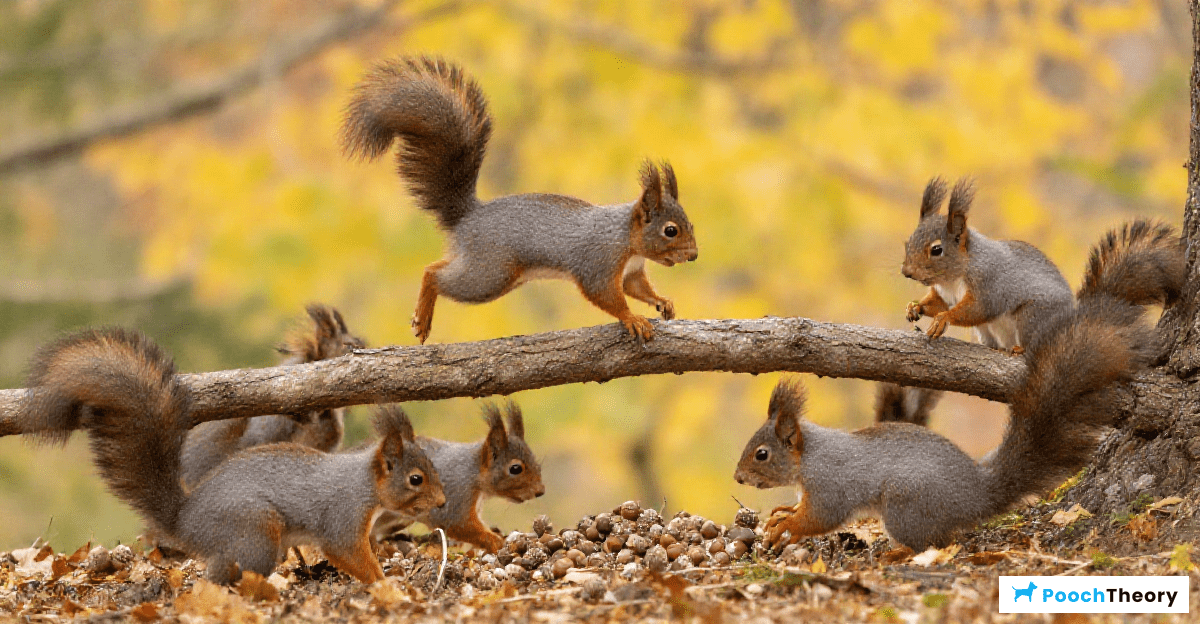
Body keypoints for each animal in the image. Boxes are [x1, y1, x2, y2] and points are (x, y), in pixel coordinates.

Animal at [18, 328, 445, 584]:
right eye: (415, 478)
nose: (442, 501)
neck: (364, 482)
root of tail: (184, 521)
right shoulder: (342, 519)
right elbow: (349, 554)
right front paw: (384, 583)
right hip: (254, 531)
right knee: (224, 575)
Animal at [340, 56, 699, 343]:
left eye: (690, 224)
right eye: (670, 230)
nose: (694, 256)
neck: (627, 237)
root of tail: (468, 216)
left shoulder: (632, 271)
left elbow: (638, 289)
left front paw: (662, 301)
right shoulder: (598, 262)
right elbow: (606, 295)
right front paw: (632, 318)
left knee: (442, 265)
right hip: (491, 273)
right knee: (433, 273)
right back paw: (423, 316)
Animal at [372, 401, 545, 553]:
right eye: (515, 468)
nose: (540, 491)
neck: (473, 472)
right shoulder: (455, 496)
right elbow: (459, 524)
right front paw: (495, 541)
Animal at [735, 221, 1183, 551]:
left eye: (762, 453)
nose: (738, 478)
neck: (808, 458)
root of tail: (977, 495)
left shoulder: (831, 485)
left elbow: (820, 518)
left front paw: (785, 527)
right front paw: (781, 512)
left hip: (906, 506)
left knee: (932, 542)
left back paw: (898, 553)